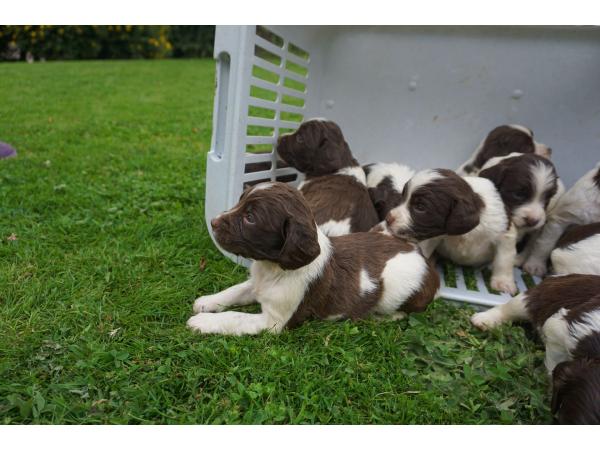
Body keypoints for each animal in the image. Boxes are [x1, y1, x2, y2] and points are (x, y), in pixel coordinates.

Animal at [185, 182, 438, 334]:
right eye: (240, 201)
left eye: (250, 218)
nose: (213, 222)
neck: (271, 269)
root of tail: (424, 259)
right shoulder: (256, 285)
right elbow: (235, 291)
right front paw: (207, 301)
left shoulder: (274, 322)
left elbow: (235, 317)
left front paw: (203, 322)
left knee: (403, 312)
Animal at [384, 169, 520, 296]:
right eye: (403, 197)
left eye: (420, 207)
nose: (388, 218)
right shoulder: (433, 237)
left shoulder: (504, 231)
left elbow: (503, 259)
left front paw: (503, 283)